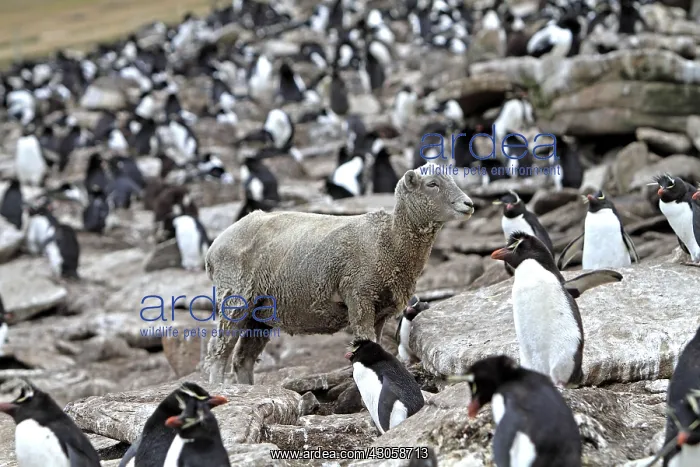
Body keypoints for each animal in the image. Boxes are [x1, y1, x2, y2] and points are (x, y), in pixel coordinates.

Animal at [201, 165, 475, 384]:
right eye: (432, 184)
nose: (469, 204)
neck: (388, 240)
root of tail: (214, 247)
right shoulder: (359, 297)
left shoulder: (380, 310)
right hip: (234, 296)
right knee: (218, 350)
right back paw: (219, 388)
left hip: (262, 312)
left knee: (243, 358)